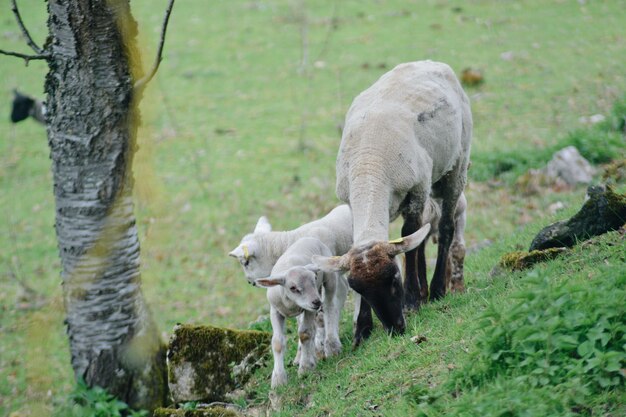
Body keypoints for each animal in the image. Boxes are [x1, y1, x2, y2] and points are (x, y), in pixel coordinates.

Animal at [254, 236, 346, 388]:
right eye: (293, 287)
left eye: (314, 279)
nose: (316, 302)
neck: (291, 304)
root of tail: (310, 238)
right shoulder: (275, 311)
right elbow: (277, 342)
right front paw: (278, 379)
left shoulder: (309, 309)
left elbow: (305, 333)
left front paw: (306, 368)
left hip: (329, 278)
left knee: (330, 307)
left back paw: (331, 346)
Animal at [312, 59, 468, 344]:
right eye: (359, 290)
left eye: (395, 279)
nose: (395, 328)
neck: (369, 168)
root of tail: (428, 62)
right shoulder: (352, 204)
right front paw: (362, 329)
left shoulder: (416, 190)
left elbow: (410, 237)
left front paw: (411, 301)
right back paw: (426, 291)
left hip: (456, 166)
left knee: (445, 227)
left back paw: (436, 290)